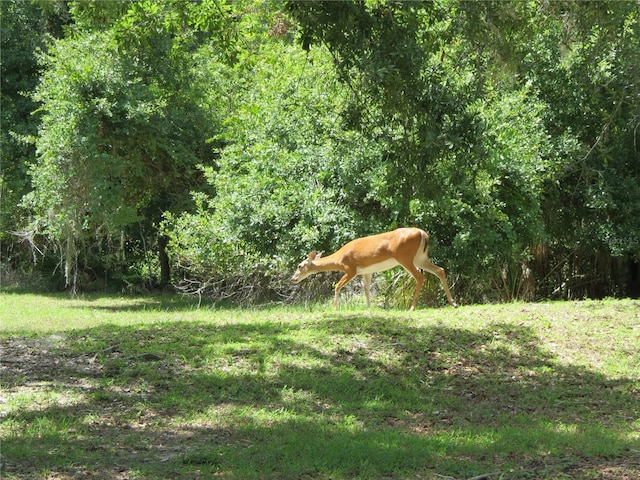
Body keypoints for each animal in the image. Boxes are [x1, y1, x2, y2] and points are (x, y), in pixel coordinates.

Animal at [292, 227, 458, 310]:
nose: (293, 278)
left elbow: (337, 286)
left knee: (420, 277)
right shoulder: (366, 271)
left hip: (405, 257)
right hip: (420, 258)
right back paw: (453, 303)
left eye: (300, 265)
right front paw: (369, 307)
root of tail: (423, 234)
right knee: (440, 270)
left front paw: (334, 308)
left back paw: (412, 307)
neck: (339, 258)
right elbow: (366, 289)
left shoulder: (350, 268)